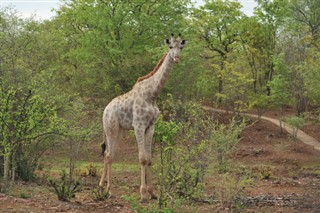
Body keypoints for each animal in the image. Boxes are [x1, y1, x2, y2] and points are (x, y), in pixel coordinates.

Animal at [99, 33, 186, 201]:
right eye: (170, 46)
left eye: (181, 47)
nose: (177, 58)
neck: (152, 95)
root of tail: (105, 109)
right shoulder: (138, 125)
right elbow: (142, 158)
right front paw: (143, 193)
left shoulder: (150, 126)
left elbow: (150, 158)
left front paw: (153, 192)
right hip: (110, 128)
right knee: (109, 155)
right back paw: (109, 190)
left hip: (119, 131)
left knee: (108, 154)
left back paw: (102, 187)